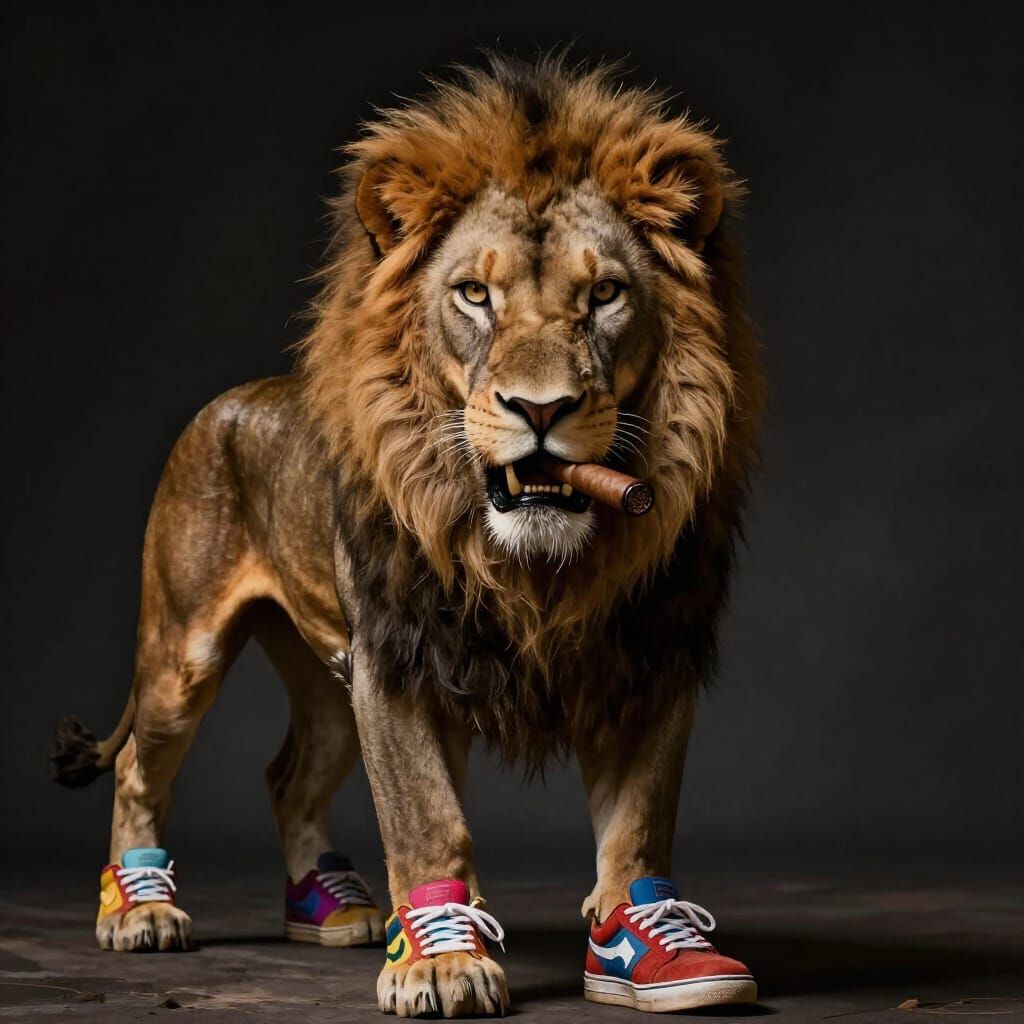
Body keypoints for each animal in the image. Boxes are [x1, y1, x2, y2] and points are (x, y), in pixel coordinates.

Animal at [52, 54, 763, 1017]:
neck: (536, 566)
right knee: (137, 768)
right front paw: (441, 964)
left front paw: (652, 948)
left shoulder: (650, 656)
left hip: (328, 681)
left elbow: (638, 828)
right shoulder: (399, 662)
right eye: (475, 294)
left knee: (288, 774)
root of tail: (232, 398)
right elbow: (429, 820)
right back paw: (141, 911)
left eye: (605, 295)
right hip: (185, 655)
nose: (540, 409)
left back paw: (333, 906)